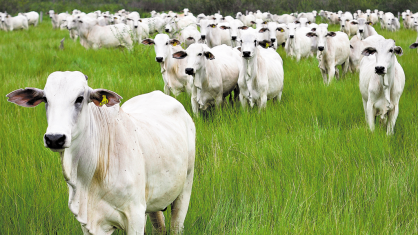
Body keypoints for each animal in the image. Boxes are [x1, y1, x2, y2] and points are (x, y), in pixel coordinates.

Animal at [6, 71, 196, 235]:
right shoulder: (90, 223)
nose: (54, 138)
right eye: (45, 98)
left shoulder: (135, 216)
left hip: (185, 187)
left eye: (80, 98)